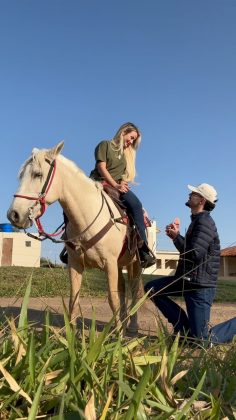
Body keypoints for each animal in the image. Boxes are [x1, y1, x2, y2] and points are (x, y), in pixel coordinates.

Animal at [7, 143, 144, 334]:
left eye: (37, 174)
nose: (14, 215)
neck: (88, 216)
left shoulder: (109, 263)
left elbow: (112, 299)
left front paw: (117, 336)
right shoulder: (75, 264)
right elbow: (74, 299)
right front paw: (71, 336)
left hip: (134, 264)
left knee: (135, 290)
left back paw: (131, 326)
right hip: (119, 265)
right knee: (123, 288)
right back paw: (123, 323)